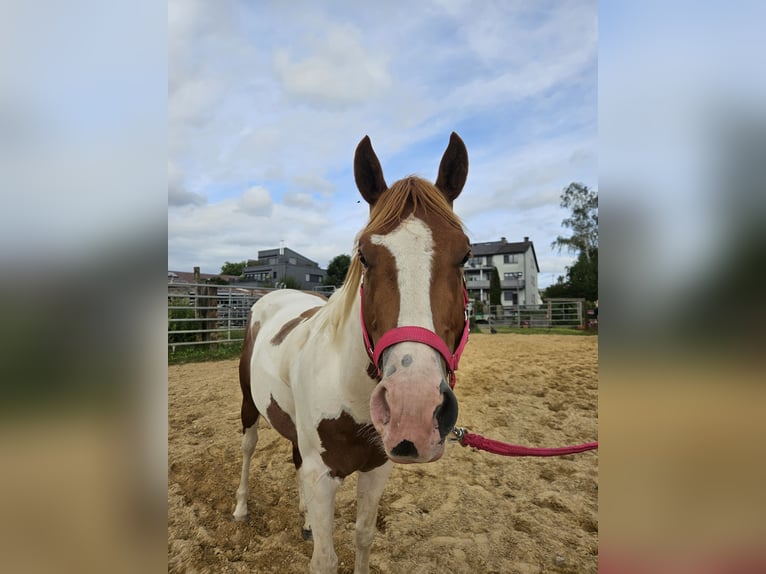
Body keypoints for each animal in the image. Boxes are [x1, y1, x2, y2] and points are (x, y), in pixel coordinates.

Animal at [234, 133, 474, 572]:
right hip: (248, 406)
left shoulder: (376, 469)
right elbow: (325, 561)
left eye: (465, 254)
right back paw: (241, 508)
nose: (413, 408)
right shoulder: (322, 477)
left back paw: (304, 519)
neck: (350, 395)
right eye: (364, 255)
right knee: (247, 448)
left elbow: (363, 536)